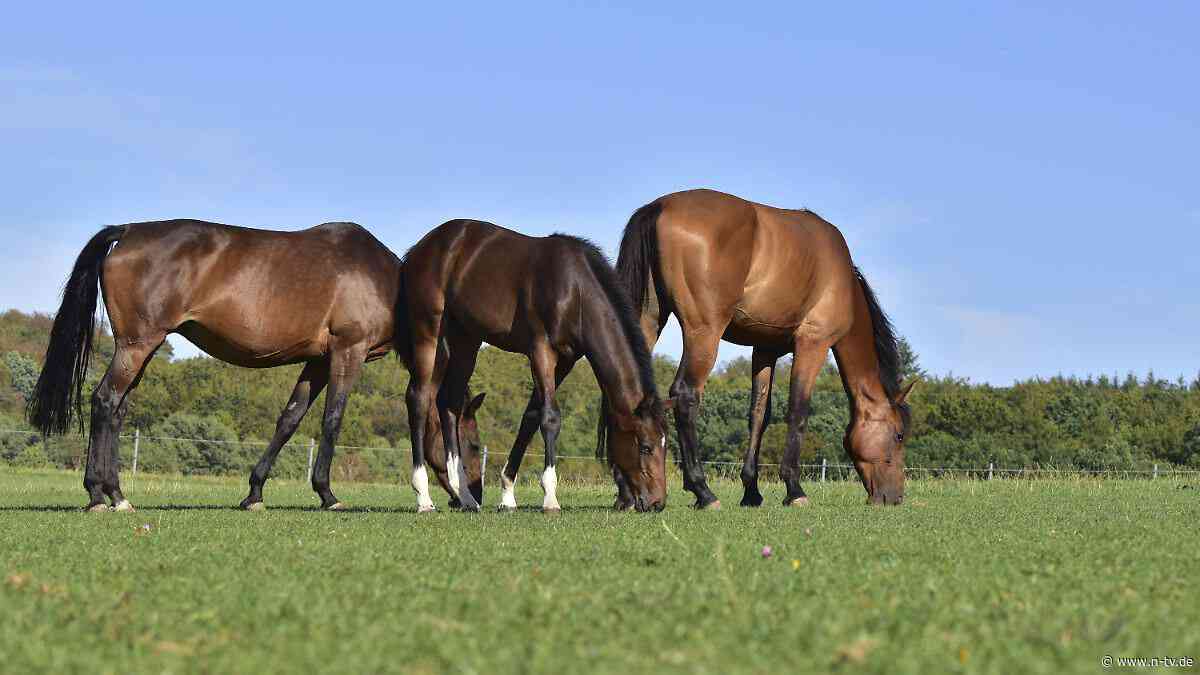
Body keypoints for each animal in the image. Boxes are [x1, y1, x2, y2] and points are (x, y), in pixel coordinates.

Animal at [27, 220, 483, 512]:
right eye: (475, 445)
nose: (472, 498)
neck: (391, 285)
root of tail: (128, 231)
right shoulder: (347, 352)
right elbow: (332, 419)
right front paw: (328, 495)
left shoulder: (317, 361)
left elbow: (290, 419)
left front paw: (254, 493)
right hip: (137, 346)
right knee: (105, 401)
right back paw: (101, 497)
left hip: (142, 349)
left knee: (117, 410)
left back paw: (114, 492)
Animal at [397, 219, 671, 513]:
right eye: (645, 447)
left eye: (665, 444)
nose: (657, 502)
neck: (574, 289)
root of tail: (420, 249)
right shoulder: (541, 351)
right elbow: (550, 417)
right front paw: (550, 497)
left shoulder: (566, 361)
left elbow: (530, 418)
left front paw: (507, 495)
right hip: (429, 332)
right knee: (418, 399)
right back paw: (423, 497)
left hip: (465, 341)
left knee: (449, 403)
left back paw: (466, 497)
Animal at [608, 189, 915, 509]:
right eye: (899, 435)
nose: (895, 497)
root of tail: (658, 206)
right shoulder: (813, 344)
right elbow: (797, 410)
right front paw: (794, 488)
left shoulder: (764, 350)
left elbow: (758, 415)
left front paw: (751, 491)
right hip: (704, 333)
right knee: (685, 395)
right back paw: (703, 491)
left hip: (646, 321)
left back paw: (626, 494)